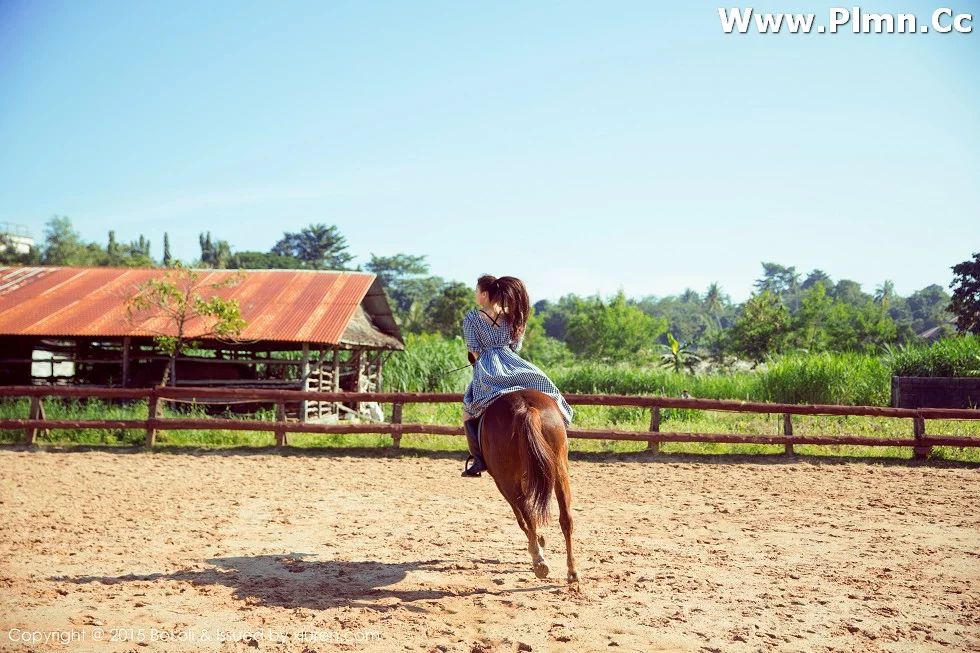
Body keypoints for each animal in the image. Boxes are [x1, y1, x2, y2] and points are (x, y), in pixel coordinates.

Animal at [478, 390, 580, 584]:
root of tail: (526, 408)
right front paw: (540, 539)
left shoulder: (501, 482)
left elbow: (520, 518)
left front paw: (538, 541)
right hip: (560, 470)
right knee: (565, 519)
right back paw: (572, 571)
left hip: (507, 482)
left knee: (528, 515)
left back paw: (538, 560)